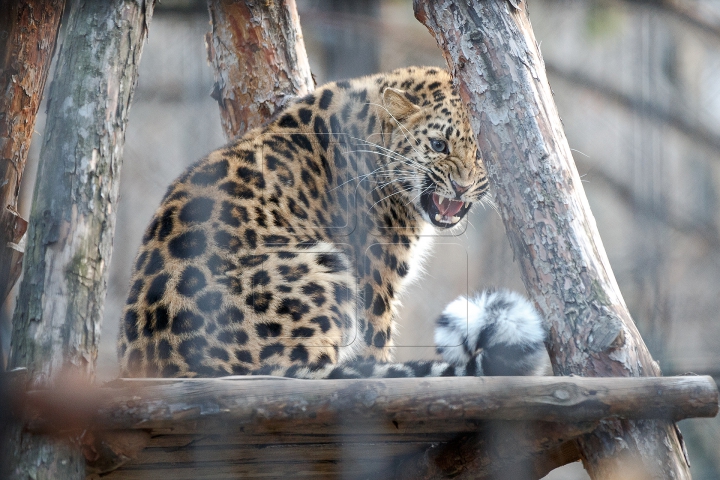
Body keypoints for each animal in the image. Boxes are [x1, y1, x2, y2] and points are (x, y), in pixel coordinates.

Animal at [118, 67, 544, 380]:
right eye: (439, 146)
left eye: (482, 154)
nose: (462, 186)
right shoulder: (376, 280)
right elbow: (377, 343)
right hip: (324, 266)